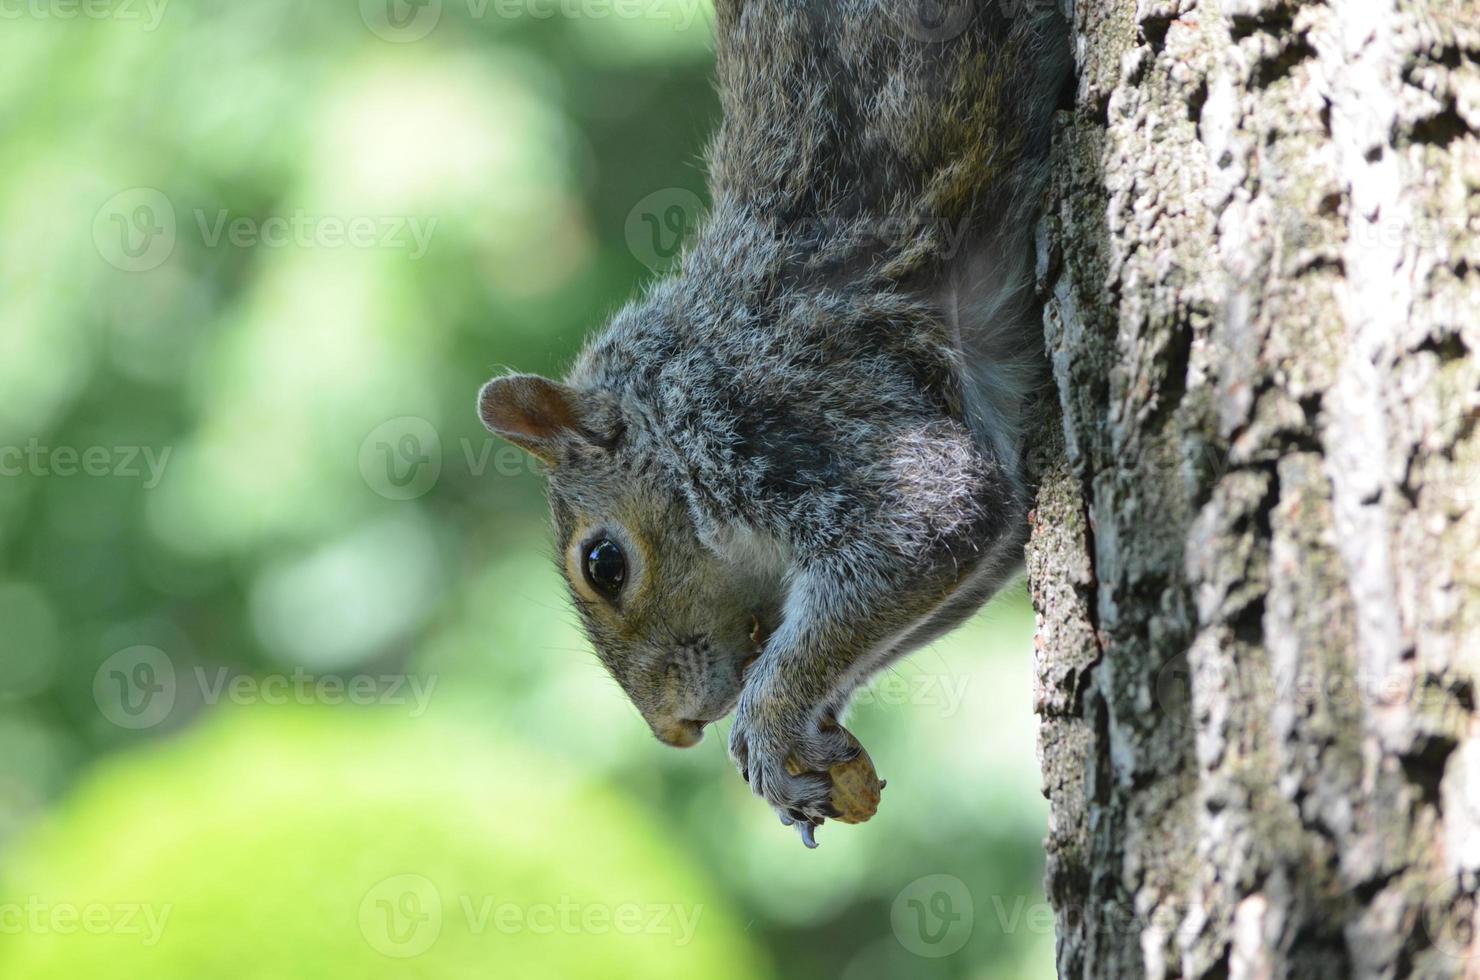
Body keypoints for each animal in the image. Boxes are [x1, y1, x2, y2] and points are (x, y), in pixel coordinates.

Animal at [479, 0, 1071, 846]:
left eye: (603, 564)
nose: (672, 731)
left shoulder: (767, 416)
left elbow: (927, 522)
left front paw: (765, 722)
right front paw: (808, 734)